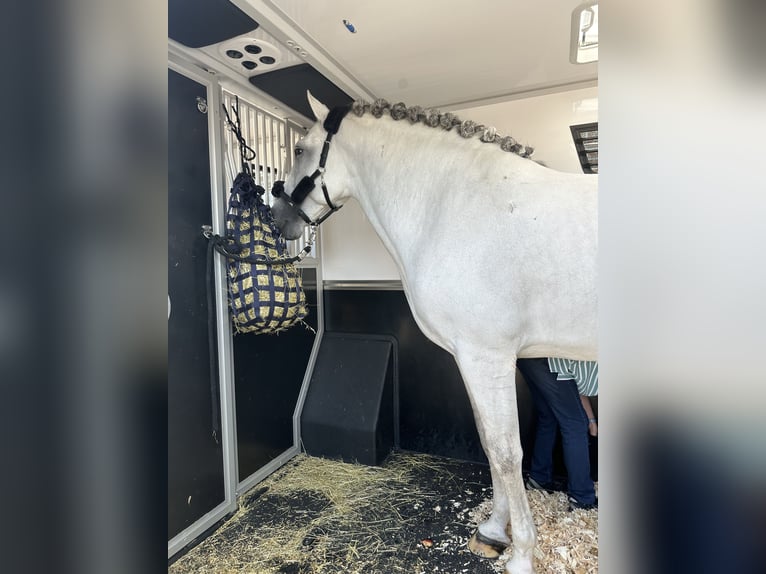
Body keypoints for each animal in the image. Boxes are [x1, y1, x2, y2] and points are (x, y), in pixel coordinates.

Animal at [272, 94, 600, 574]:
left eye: (299, 149)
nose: (278, 218)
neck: (454, 205)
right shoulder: (472, 358)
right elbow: (488, 442)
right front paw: (492, 531)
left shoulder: (488, 356)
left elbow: (506, 451)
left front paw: (521, 552)